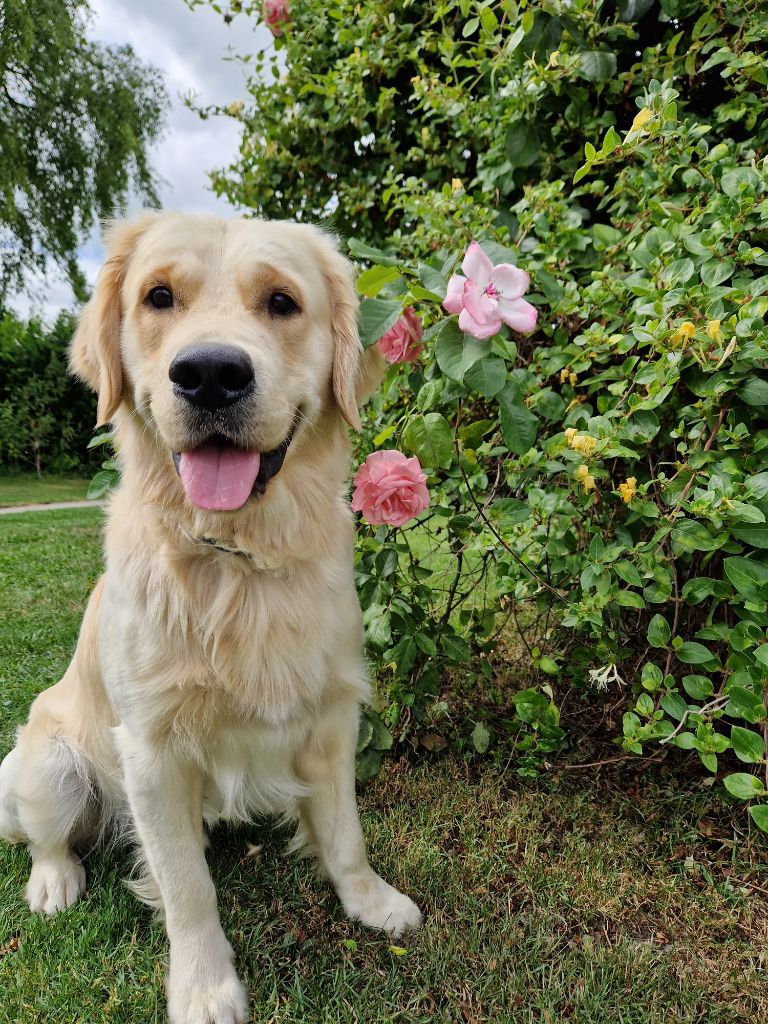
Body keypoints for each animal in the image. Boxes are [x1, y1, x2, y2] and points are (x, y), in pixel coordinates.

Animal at [0, 213, 421, 1024]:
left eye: (283, 302)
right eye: (158, 296)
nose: (210, 375)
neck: (236, 557)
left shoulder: (333, 714)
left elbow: (345, 831)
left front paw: (369, 900)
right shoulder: (152, 752)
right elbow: (187, 886)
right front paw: (203, 987)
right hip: (43, 760)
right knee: (47, 837)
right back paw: (53, 882)